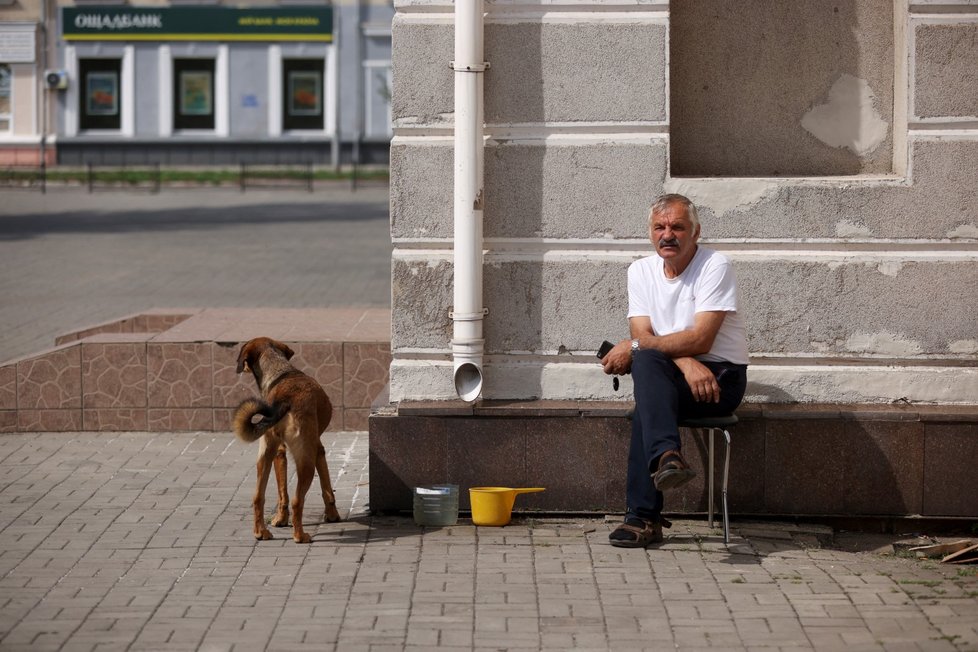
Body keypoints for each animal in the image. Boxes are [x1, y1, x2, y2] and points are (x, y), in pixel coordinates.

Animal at [234, 338, 344, 544]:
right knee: (297, 500)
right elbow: (326, 488)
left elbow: (281, 492)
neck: (280, 372)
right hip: (306, 460)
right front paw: (332, 515)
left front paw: (280, 519)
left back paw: (261, 532)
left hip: (265, 455)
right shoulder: (319, 450)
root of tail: (283, 399)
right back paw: (300, 536)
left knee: (258, 496)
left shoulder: (279, 452)